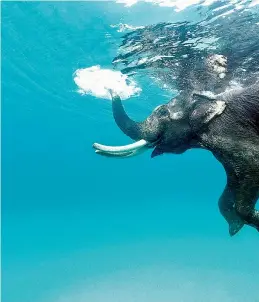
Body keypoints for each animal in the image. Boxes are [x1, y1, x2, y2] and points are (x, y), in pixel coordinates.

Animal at [93, 83, 259, 236]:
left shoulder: (229, 131)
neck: (209, 99)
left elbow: (252, 164)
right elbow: (231, 184)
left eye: (162, 112)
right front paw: (235, 227)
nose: (110, 87)